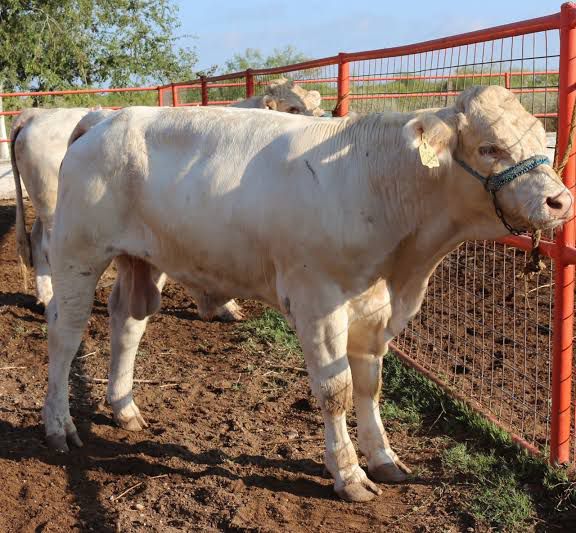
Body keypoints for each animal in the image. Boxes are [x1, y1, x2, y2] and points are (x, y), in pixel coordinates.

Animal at [44, 85, 572, 500]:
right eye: (489, 148)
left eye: (537, 138)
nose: (559, 201)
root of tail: (106, 117)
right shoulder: (319, 302)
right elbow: (337, 390)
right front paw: (349, 475)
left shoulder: (374, 310)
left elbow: (369, 385)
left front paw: (384, 458)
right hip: (77, 252)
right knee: (65, 334)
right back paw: (58, 425)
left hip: (144, 259)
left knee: (127, 323)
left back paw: (125, 408)